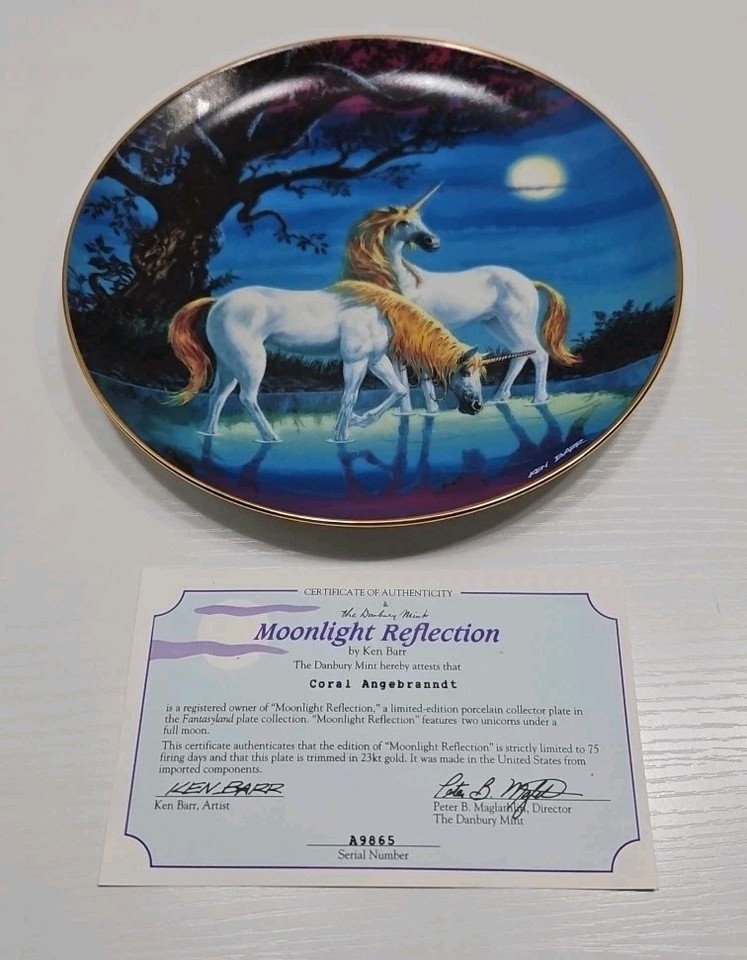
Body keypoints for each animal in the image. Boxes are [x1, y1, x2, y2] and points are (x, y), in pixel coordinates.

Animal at [350, 184, 579, 406]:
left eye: (420, 219)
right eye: (403, 222)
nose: (433, 242)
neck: (406, 284)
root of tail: (529, 283)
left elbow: (423, 378)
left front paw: (431, 411)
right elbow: (401, 379)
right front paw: (406, 413)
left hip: (517, 325)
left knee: (540, 355)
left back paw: (538, 399)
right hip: (496, 324)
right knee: (520, 354)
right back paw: (499, 397)